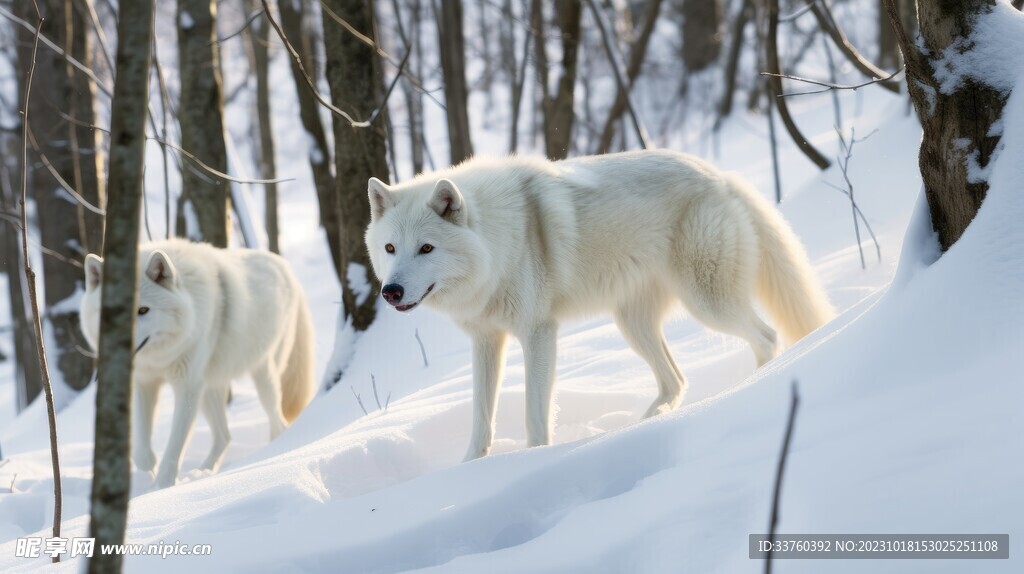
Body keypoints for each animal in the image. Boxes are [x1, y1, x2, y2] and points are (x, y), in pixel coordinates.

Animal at [79, 239, 313, 484]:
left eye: (143, 310)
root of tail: (284, 265)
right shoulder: (143, 383)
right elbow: (141, 451)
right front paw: (150, 470)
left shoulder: (187, 387)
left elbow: (174, 447)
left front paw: (163, 484)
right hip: (210, 388)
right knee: (224, 437)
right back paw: (203, 473)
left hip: (261, 376)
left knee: (277, 422)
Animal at [364, 148, 835, 460]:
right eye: (390, 248)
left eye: (426, 248)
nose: (391, 292)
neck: (498, 241)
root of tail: (718, 174)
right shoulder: (486, 341)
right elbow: (481, 419)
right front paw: (469, 469)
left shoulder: (539, 334)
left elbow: (536, 414)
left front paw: (532, 461)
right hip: (633, 325)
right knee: (676, 380)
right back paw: (645, 423)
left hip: (708, 305)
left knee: (766, 337)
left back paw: (754, 384)